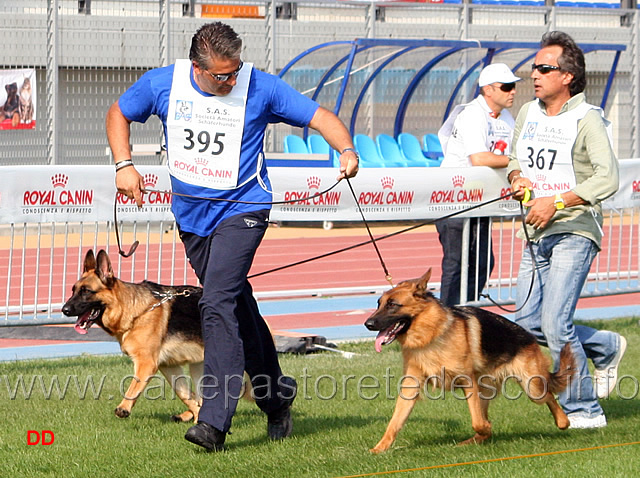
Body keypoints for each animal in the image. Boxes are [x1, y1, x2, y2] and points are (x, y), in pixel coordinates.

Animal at [62, 250, 205, 422]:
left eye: (86, 291)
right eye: (73, 290)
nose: (64, 310)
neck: (135, 312)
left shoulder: (146, 363)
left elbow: (133, 386)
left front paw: (123, 407)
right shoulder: (169, 366)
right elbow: (185, 394)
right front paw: (197, 417)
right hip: (197, 364)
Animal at [364, 270, 576, 454]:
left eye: (393, 305)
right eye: (379, 303)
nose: (368, 324)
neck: (430, 334)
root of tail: (529, 336)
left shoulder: (467, 380)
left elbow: (478, 422)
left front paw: (486, 429)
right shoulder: (410, 386)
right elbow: (395, 421)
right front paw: (380, 448)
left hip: (532, 387)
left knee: (549, 396)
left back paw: (563, 421)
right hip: (487, 391)